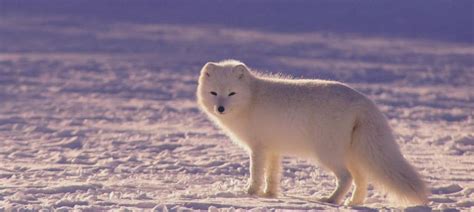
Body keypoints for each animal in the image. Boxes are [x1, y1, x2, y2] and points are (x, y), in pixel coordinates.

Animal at [196, 59, 430, 205]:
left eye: (232, 93)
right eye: (214, 93)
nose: (220, 108)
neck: (251, 99)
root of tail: (363, 101)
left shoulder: (258, 148)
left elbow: (256, 173)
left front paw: (250, 194)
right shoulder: (273, 149)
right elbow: (272, 175)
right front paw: (269, 195)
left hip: (327, 154)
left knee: (346, 178)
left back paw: (331, 200)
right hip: (352, 154)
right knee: (362, 179)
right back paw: (353, 203)